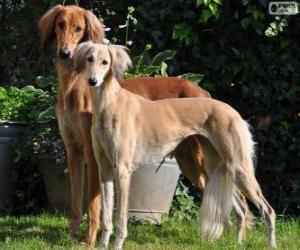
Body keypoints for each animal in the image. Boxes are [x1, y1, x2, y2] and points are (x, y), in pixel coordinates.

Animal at [73, 42, 276, 249]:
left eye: (105, 62)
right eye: (89, 59)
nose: (92, 81)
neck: (110, 103)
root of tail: (233, 111)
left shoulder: (122, 170)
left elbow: (120, 218)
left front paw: (117, 244)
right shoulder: (105, 168)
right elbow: (106, 216)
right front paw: (103, 245)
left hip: (237, 166)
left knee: (268, 210)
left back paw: (271, 243)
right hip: (218, 165)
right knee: (242, 207)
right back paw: (238, 243)